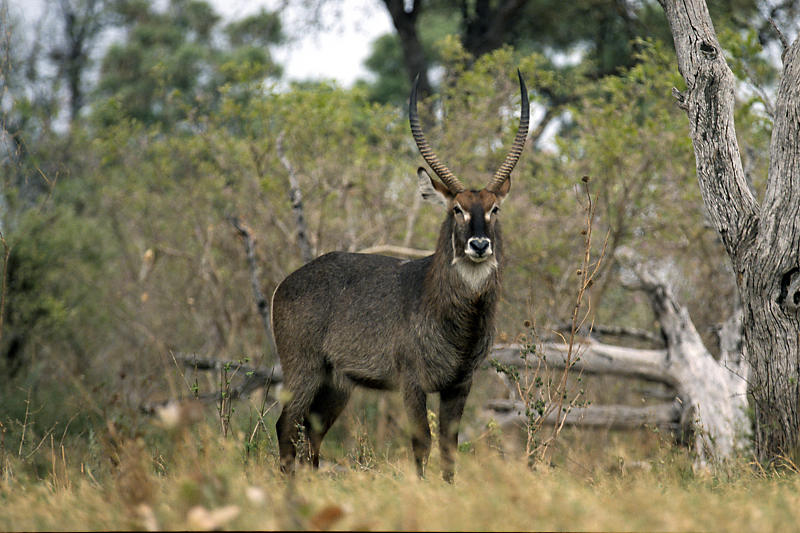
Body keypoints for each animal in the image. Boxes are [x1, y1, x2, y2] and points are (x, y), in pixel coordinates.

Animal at [272, 68, 528, 480]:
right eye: (456, 208)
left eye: (495, 209)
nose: (479, 245)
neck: (458, 320)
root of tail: (285, 283)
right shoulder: (412, 381)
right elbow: (422, 443)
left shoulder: (461, 383)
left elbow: (449, 447)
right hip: (304, 369)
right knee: (286, 425)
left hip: (337, 382)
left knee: (312, 432)